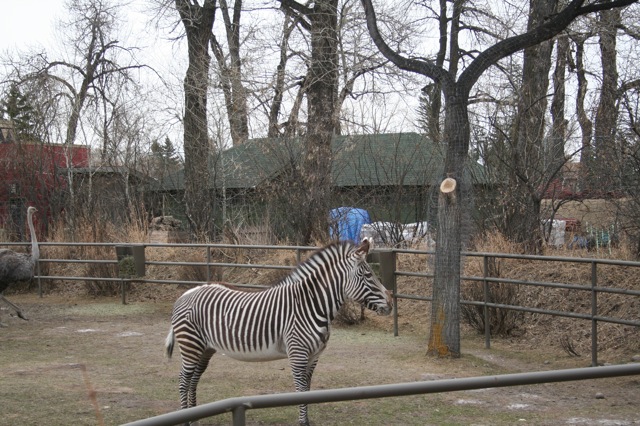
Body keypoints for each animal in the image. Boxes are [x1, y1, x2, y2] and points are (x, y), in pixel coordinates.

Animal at [165, 238, 393, 425]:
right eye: (367, 275)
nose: (390, 304)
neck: (310, 305)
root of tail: (187, 293)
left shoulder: (314, 357)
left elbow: (308, 389)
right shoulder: (298, 354)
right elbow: (301, 390)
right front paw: (303, 423)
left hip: (205, 349)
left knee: (193, 379)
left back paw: (193, 417)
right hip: (190, 345)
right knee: (183, 380)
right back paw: (185, 419)